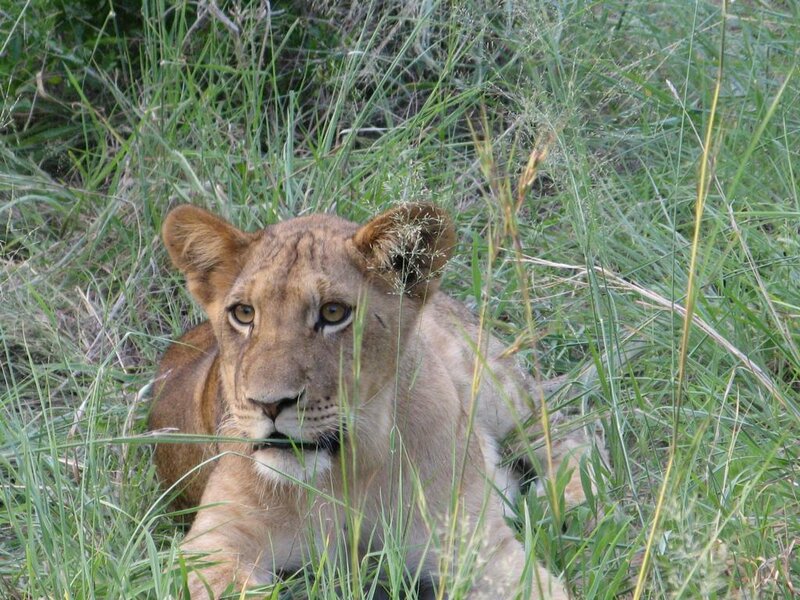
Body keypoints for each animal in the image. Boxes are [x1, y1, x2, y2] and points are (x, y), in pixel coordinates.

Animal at [149, 203, 600, 599]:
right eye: (244, 313)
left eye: (333, 313)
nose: (269, 404)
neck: (349, 468)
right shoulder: (214, 547)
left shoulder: (474, 544)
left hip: (491, 386)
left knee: (566, 424)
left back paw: (568, 503)